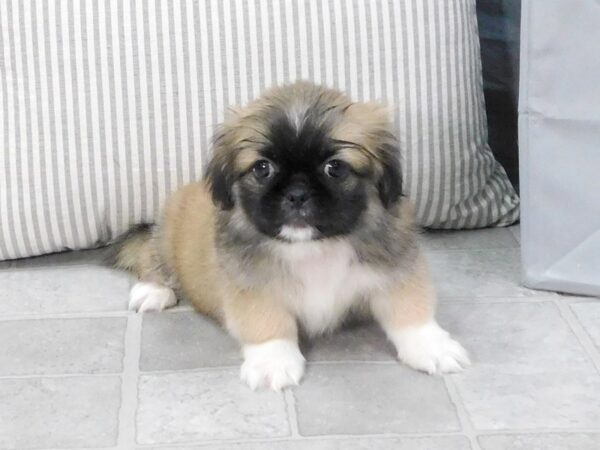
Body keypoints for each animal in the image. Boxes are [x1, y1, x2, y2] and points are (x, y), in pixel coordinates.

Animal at [115, 81, 472, 390]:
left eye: (334, 168)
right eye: (262, 168)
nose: (297, 194)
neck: (314, 248)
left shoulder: (395, 269)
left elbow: (410, 310)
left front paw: (431, 346)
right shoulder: (252, 286)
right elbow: (268, 324)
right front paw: (272, 362)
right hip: (166, 232)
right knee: (151, 256)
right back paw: (153, 290)